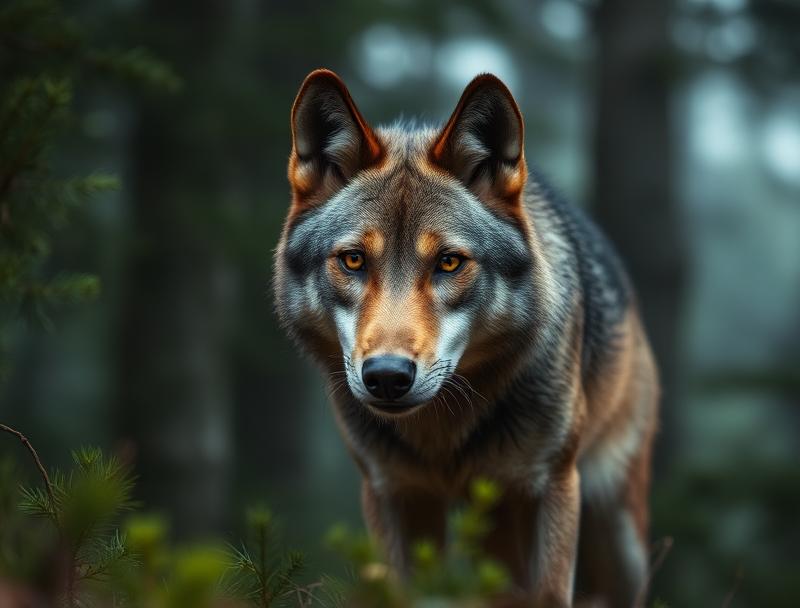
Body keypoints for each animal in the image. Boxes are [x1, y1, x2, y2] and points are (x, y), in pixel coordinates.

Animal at [274, 69, 659, 607]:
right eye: (353, 260)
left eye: (449, 262)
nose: (387, 377)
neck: (443, 436)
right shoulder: (394, 494)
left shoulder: (552, 486)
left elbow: (549, 595)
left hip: (615, 541)